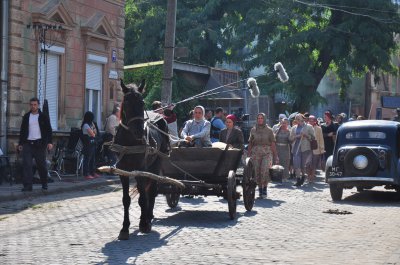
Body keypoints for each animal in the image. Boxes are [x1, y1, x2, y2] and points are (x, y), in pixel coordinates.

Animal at [113, 79, 170, 239]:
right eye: (126, 102)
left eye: (142, 102)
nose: (139, 131)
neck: (130, 141)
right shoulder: (123, 171)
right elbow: (126, 199)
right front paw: (125, 228)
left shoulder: (140, 170)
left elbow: (143, 197)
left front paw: (144, 224)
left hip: (156, 163)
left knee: (151, 190)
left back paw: (148, 217)